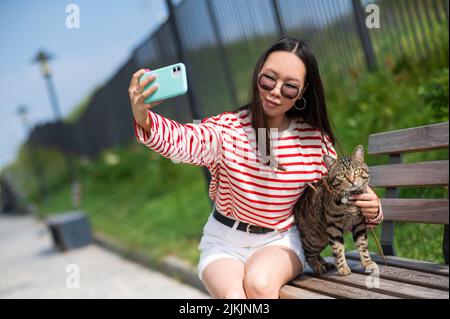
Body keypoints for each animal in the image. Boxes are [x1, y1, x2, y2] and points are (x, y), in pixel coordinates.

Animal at [294, 146, 378, 276]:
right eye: (342, 175)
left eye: (357, 171)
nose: (352, 181)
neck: (350, 200)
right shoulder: (333, 227)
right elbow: (338, 249)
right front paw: (343, 268)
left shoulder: (359, 223)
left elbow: (363, 245)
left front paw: (367, 263)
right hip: (314, 238)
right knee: (307, 254)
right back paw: (318, 266)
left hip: (322, 239)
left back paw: (324, 263)